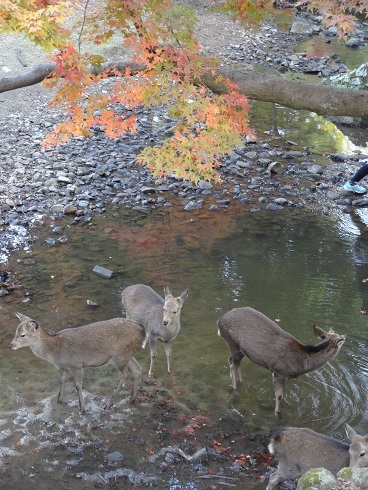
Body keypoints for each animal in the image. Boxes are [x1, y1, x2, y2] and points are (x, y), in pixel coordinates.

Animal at [10, 312, 145, 412]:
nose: (11, 345)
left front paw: (83, 408)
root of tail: (142, 330)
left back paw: (109, 404)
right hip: (127, 354)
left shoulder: (77, 365)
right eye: (15, 332)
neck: (55, 352)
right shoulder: (66, 368)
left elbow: (78, 385)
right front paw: (59, 400)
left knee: (126, 373)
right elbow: (62, 379)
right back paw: (132, 399)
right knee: (137, 368)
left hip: (120, 355)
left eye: (23, 335)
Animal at [216, 306, 344, 414]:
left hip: (241, 350)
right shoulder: (279, 372)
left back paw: (241, 382)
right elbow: (279, 396)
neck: (301, 364)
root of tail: (219, 321)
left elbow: (283, 394)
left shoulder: (285, 376)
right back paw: (235, 389)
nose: (344, 337)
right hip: (233, 343)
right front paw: (277, 413)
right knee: (232, 363)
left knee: (234, 362)